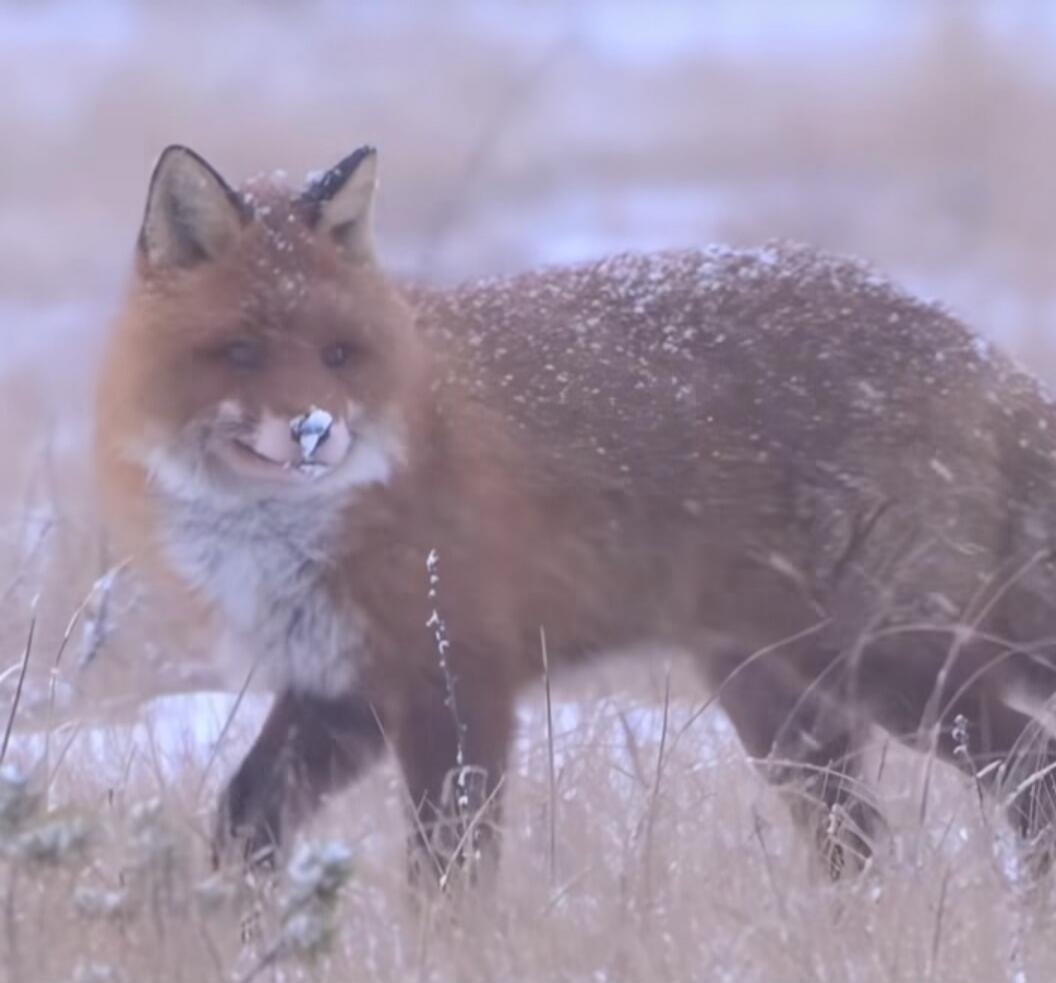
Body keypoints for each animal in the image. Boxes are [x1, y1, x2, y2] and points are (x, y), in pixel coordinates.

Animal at [95, 144, 1056, 882]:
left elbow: (448, 877)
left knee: (1032, 772)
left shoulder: (458, 680)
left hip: (889, 664)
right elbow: (241, 821)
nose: (312, 432)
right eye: (242, 352)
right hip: (781, 703)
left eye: (338, 353)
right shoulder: (343, 685)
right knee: (858, 846)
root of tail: (978, 348)